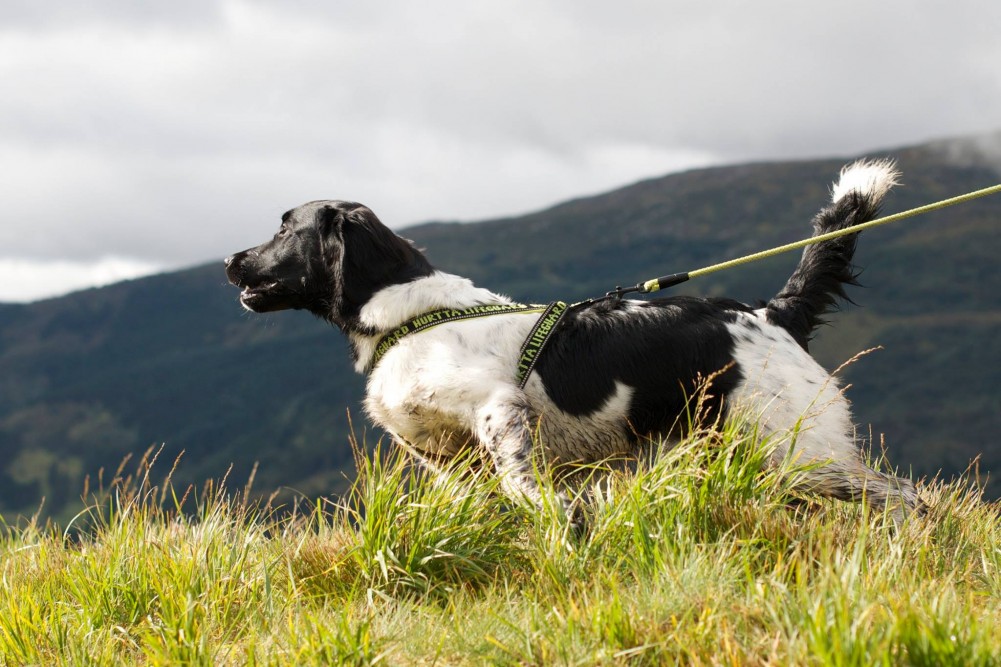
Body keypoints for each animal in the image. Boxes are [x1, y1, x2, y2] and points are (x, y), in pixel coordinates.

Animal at [225, 160, 920, 520]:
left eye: (285, 229)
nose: (231, 261)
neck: (408, 318)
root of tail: (770, 315)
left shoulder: (498, 408)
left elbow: (521, 483)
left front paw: (559, 519)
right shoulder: (444, 456)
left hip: (807, 453)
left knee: (906, 497)